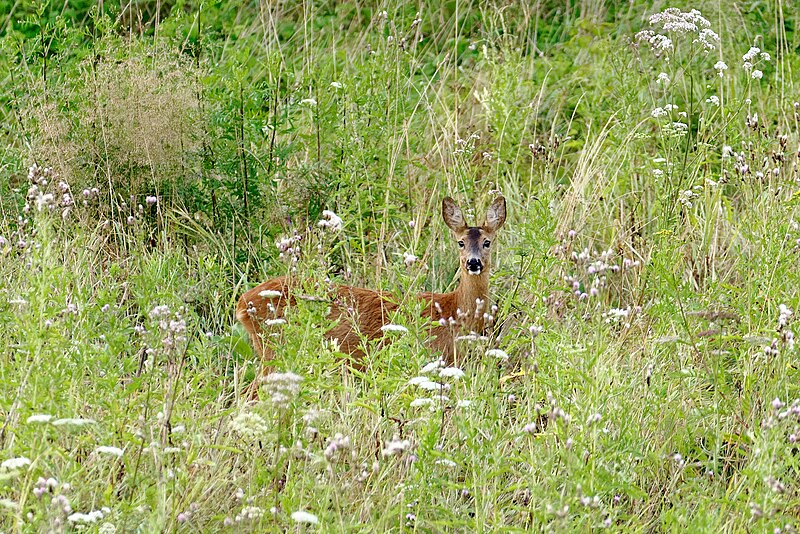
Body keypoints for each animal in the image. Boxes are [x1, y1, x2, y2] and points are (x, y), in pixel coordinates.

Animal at [234, 197, 506, 376]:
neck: (454, 311)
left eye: (487, 242)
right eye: (460, 242)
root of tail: (241, 303)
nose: (473, 262)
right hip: (275, 349)